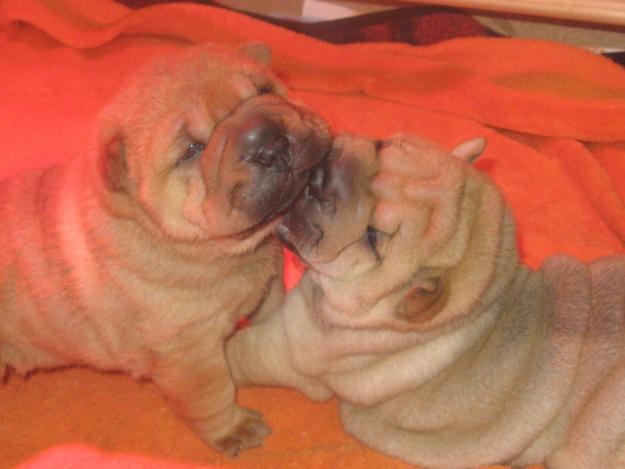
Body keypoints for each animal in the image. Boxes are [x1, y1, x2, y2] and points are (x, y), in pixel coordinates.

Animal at [0, 43, 332, 454]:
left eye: (263, 90)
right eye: (193, 149)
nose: (269, 143)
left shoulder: (266, 285)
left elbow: (272, 314)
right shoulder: (188, 352)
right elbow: (212, 396)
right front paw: (234, 430)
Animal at [229, 133, 625, 468]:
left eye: (372, 238)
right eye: (380, 146)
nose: (320, 179)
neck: (488, 301)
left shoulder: (287, 347)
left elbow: (238, 353)